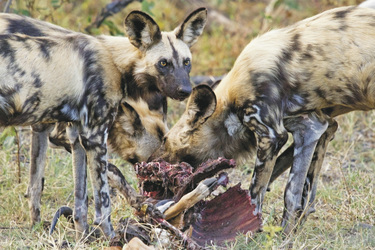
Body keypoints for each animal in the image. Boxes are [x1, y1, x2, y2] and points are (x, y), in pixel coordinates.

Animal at [0, 8, 207, 238]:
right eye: (163, 63)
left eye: (186, 62)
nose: (186, 91)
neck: (115, 61)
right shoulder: (93, 137)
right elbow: (106, 194)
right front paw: (112, 236)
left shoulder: (74, 136)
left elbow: (74, 198)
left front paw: (81, 235)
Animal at [153, 6, 375, 235]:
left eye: (165, 140)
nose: (150, 161)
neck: (230, 102)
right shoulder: (313, 126)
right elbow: (299, 192)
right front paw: (288, 233)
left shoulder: (272, 136)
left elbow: (256, 194)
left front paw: (249, 230)